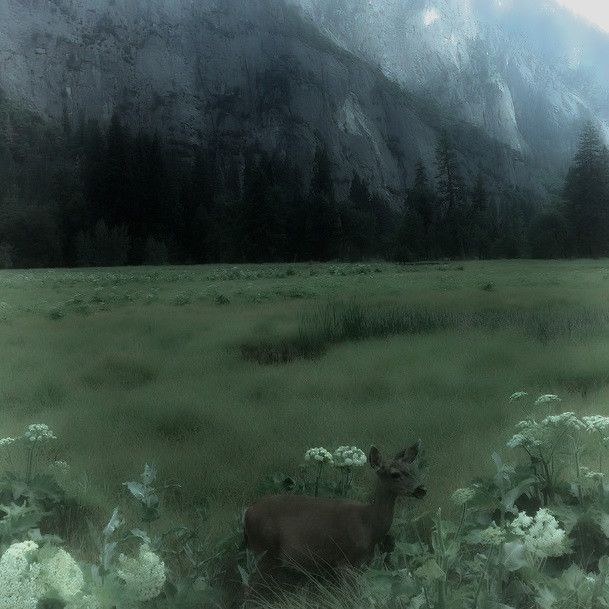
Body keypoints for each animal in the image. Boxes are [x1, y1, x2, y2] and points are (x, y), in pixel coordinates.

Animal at [241, 436, 422, 580]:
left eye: (412, 470)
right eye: (394, 474)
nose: (422, 489)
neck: (369, 525)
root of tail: (247, 512)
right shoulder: (346, 562)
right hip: (264, 551)